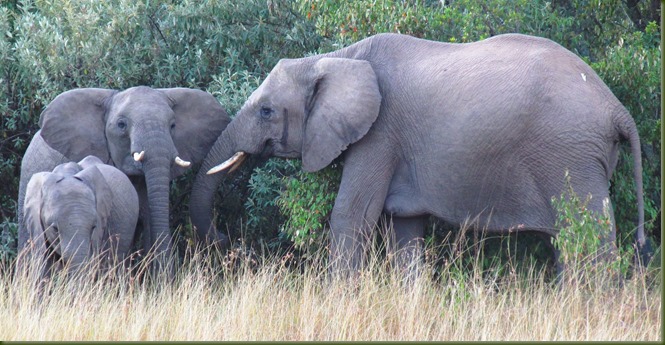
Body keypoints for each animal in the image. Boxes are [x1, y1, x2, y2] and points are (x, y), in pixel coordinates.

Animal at [189, 33, 644, 274]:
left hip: (570, 155)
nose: (226, 239)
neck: (333, 59)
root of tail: (616, 107)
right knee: (567, 242)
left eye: (266, 111)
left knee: (590, 236)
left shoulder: (379, 135)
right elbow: (404, 231)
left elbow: (352, 215)